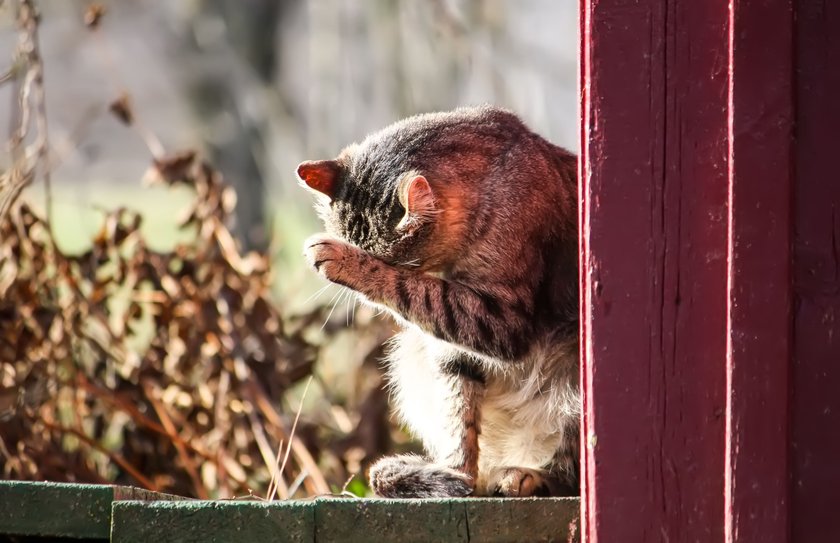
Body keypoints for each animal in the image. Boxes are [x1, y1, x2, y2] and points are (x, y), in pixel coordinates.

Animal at [298, 104, 580, 500]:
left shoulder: (500, 320)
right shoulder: (453, 351)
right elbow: (459, 420)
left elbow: (413, 289)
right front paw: (454, 475)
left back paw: (529, 476)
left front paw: (348, 263)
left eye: (389, 262)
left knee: (570, 467)